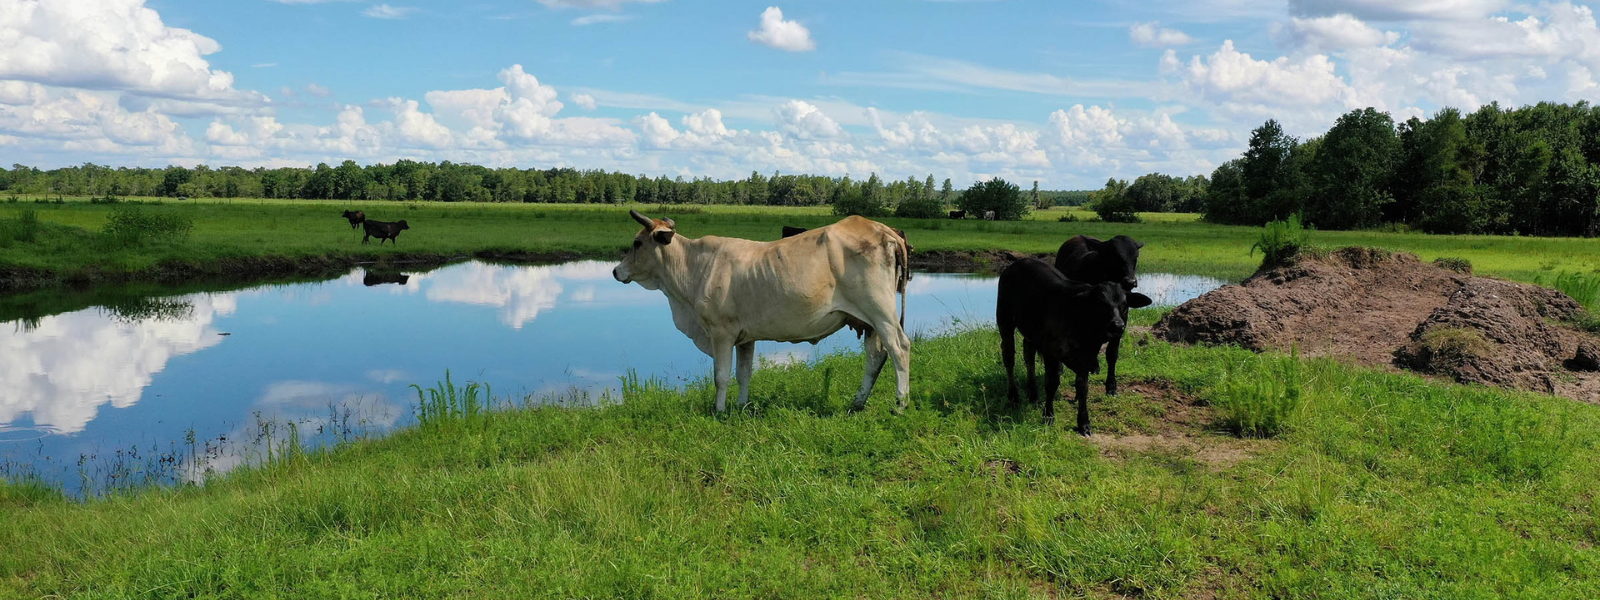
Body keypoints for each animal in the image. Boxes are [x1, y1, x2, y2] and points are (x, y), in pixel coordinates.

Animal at [611, 209, 915, 412]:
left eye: (637, 242)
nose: (616, 271)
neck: (695, 267)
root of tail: (882, 228)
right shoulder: (746, 337)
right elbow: (743, 373)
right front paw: (741, 407)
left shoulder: (721, 332)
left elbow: (721, 376)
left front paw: (719, 411)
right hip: (870, 321)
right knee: (875, 356)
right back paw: (857, 403)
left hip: (880, 312)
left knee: (899, 348)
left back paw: (900, 404)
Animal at [998, 259, 1152, 432]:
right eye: (1100, 304)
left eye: (1124, 305)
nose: (1118, 325)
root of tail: (1020, 262)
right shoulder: (1051, 352)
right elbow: (1051, 383)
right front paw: (1048, 416)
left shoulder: (1086, 357)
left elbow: (1082, 387)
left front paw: (1083, 423)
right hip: (1004, 321)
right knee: (1009, 358)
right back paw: (1013, 395)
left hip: (1030, 333)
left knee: (1028, 355)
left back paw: (1033, 392)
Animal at [1056, 236, 1145, 400]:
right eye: (1116, 256)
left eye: (1135, 257)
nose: (1130, 281)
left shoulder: (1122, 320)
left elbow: (1112, 353)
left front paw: (1111, 387)